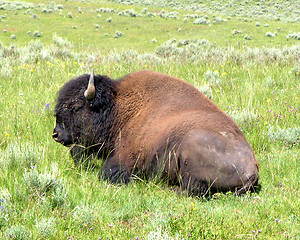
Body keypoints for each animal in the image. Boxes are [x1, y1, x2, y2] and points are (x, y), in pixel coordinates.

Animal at [52, 68, 258, 196]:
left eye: (76, 107)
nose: (56, 134)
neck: (117, 107)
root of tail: (253, 170)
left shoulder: (124, 160)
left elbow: (106, 173)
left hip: (192, 143)